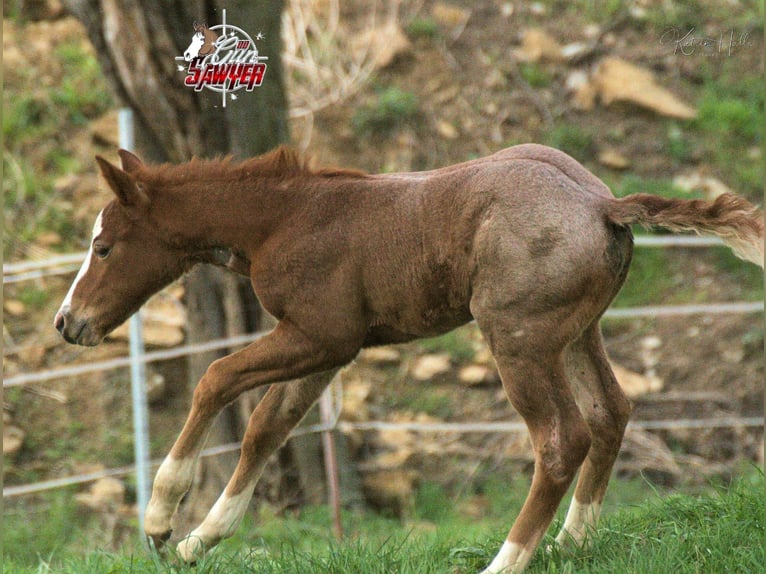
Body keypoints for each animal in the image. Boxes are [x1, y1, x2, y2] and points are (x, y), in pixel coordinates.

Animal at [52, 144, 760, 572]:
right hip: (578, 333)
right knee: (611, 413)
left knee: (563, 437)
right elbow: (265, 428)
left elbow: (216, 377)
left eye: (105, 247)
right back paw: (570, 541)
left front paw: (160, 519)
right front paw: (200, 540)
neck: (284, 218)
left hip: (518, 338)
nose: (67, 323)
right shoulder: (322, 350)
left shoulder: (323, 336)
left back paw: (506, 560)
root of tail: (603, 204)